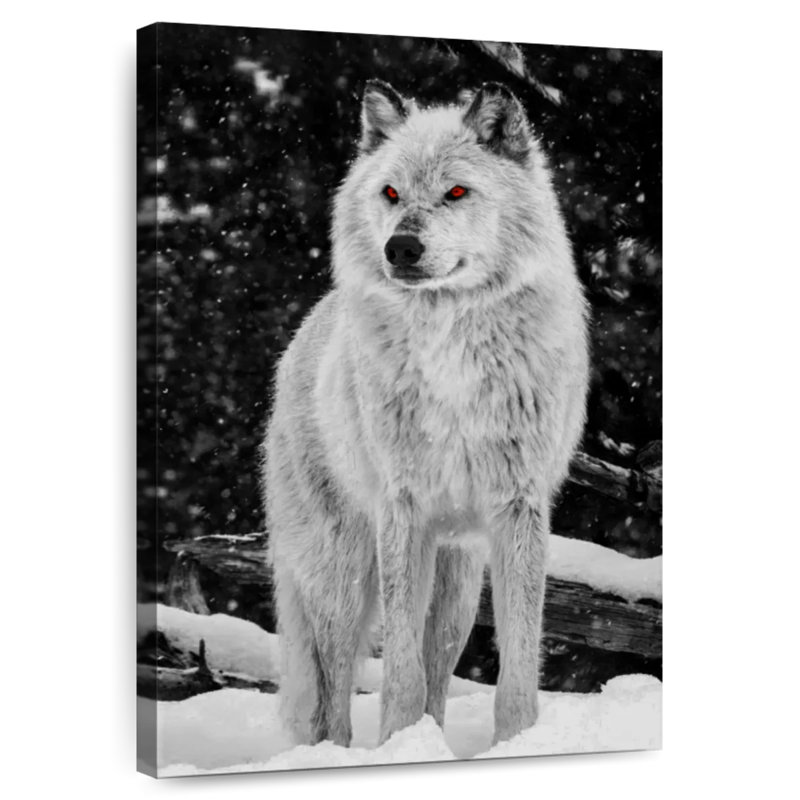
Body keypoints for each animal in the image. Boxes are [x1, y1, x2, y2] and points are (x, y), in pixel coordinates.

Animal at [263, 79, 589, 748]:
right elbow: (400, 673)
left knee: (439, 658)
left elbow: (518, 667)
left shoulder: (518, 510)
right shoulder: (403, 510)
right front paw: (396, 744)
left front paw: (515, 745)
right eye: (390, 193)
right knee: (333, 685)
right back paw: (338, 753)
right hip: (343, 571)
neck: (452, 348)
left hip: (459, 579)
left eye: (456, 192)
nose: (402, 248)